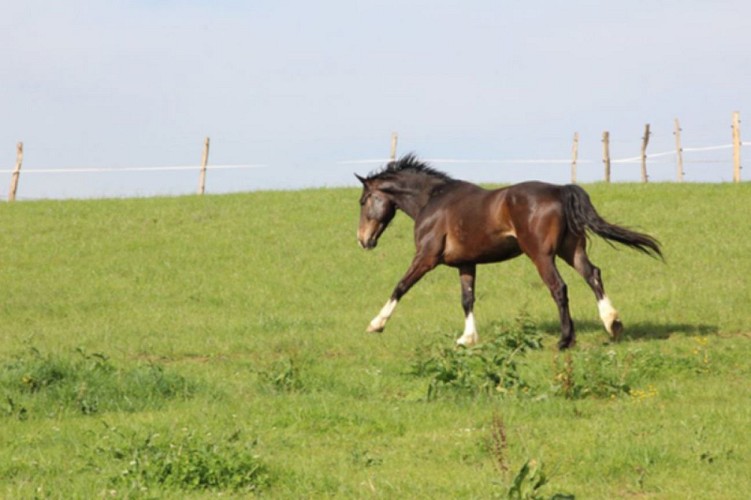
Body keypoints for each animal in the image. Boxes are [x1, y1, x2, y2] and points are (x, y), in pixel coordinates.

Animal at [356, 154, 660, 350]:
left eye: (363, 200)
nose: (362, 240)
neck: (432, 202)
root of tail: (561, 190)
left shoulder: (426, 258)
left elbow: (401, 286)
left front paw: (375, 324)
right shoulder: (466, 264)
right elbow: (467, 299)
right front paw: (468, 339)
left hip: (541, 255)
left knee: (559, 288)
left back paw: (565, 340)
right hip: (571, 250)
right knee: (593, 275)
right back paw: (613, 324)